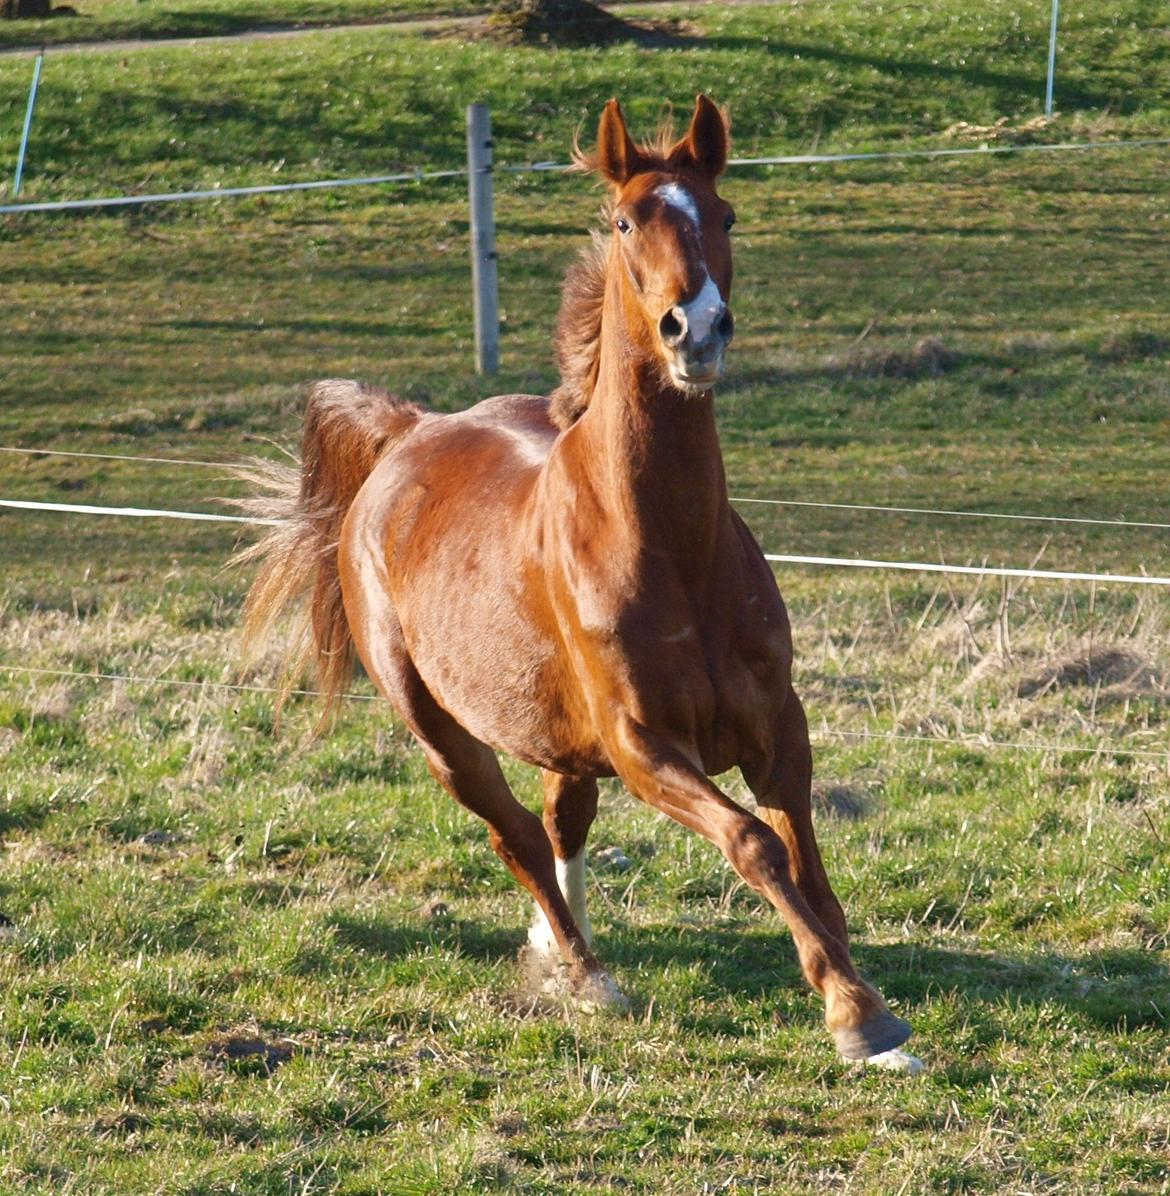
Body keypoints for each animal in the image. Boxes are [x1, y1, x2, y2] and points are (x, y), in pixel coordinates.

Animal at [234, 93, 913, 1066]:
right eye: (627, 220)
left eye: (726, 215)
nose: (696, 330)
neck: (672, 547)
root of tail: (410, 431)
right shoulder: (645, 747)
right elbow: (755, 846)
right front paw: (855, 1013)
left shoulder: (778, 726)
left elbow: (810, 865)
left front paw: (862, 1000)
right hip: (442, 730)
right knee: (514, 832)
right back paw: (587, 975)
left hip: (556, 733)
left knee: (560, 822)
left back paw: (559, 946)